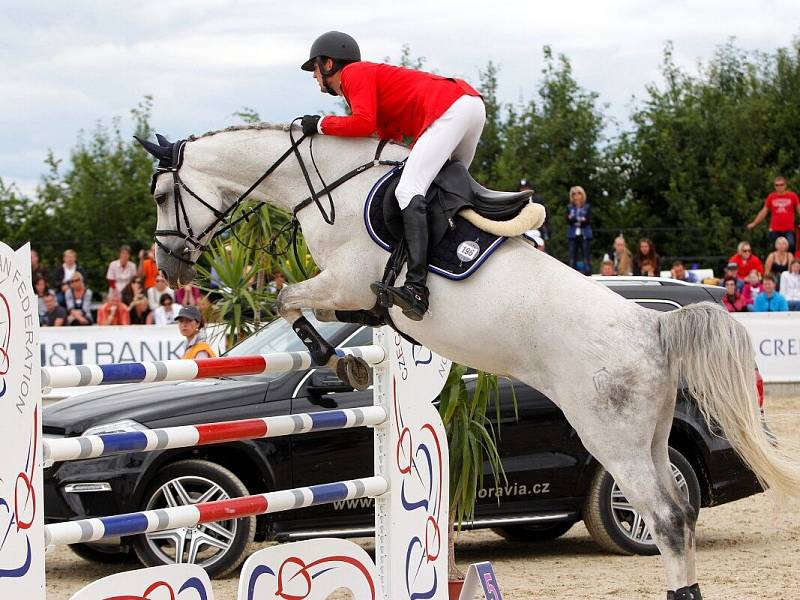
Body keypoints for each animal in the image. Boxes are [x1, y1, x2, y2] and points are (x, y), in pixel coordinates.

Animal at [139, 124, 800, 596]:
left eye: (164, 194)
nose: (170, 266)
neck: (328, 185)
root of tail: (655, 326)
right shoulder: (351, 294)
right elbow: (321, 311)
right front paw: (348, 359)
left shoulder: (342, 280)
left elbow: (287, 298)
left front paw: (341, 361)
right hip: (652, 435)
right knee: (682, 512)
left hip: (612, 439)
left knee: (665, 519)